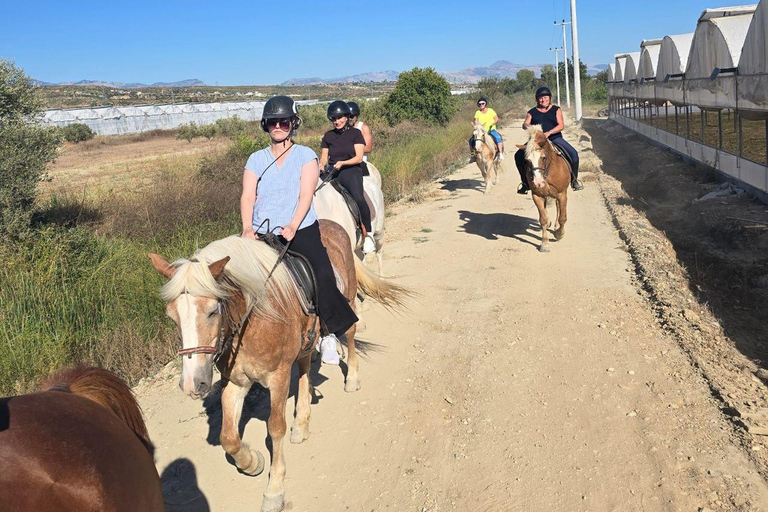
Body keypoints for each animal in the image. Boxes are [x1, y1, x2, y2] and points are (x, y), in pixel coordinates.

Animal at [149, 219, 408, 512]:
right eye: (172, 316)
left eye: (213, 311)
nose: (193, 384)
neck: (252, 320)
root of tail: (332, 224)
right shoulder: (237, 382)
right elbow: (228, 437)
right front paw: (252, 463)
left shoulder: (278, 377)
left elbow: (275, 428)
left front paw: (274, 490)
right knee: (305, 367)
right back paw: (302, 422)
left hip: (349, 299)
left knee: (350, 335)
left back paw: (351, 378)